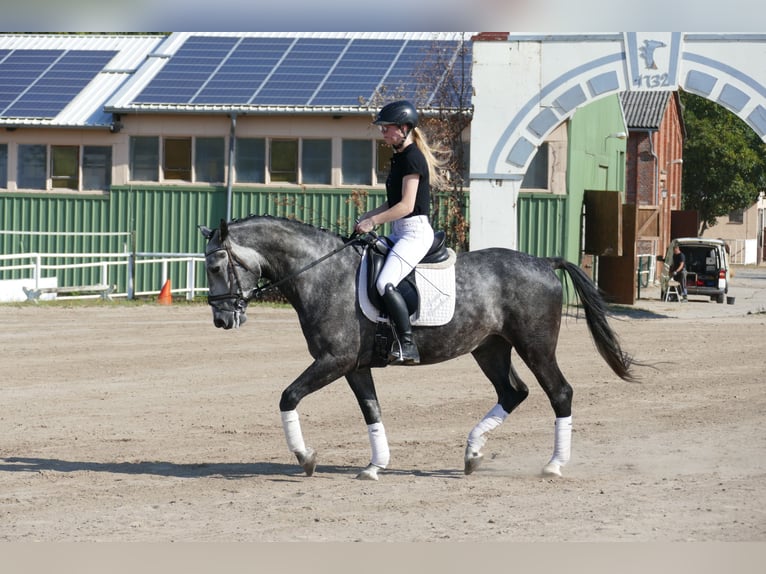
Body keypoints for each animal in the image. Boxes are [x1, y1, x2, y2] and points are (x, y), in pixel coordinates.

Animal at [201, 216, 640, 482]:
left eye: (216, 267)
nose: (222, 320)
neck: (322, 273)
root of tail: (544, 262)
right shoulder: (353, 366)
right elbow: (372, 411)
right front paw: (375, 466)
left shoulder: (333, 360)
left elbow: (288, 396)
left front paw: (305, 457)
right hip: (490, 348)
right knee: (513, 392)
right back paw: (472, 454)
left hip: (535, 346)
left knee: (559, 393)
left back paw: (553, 465)